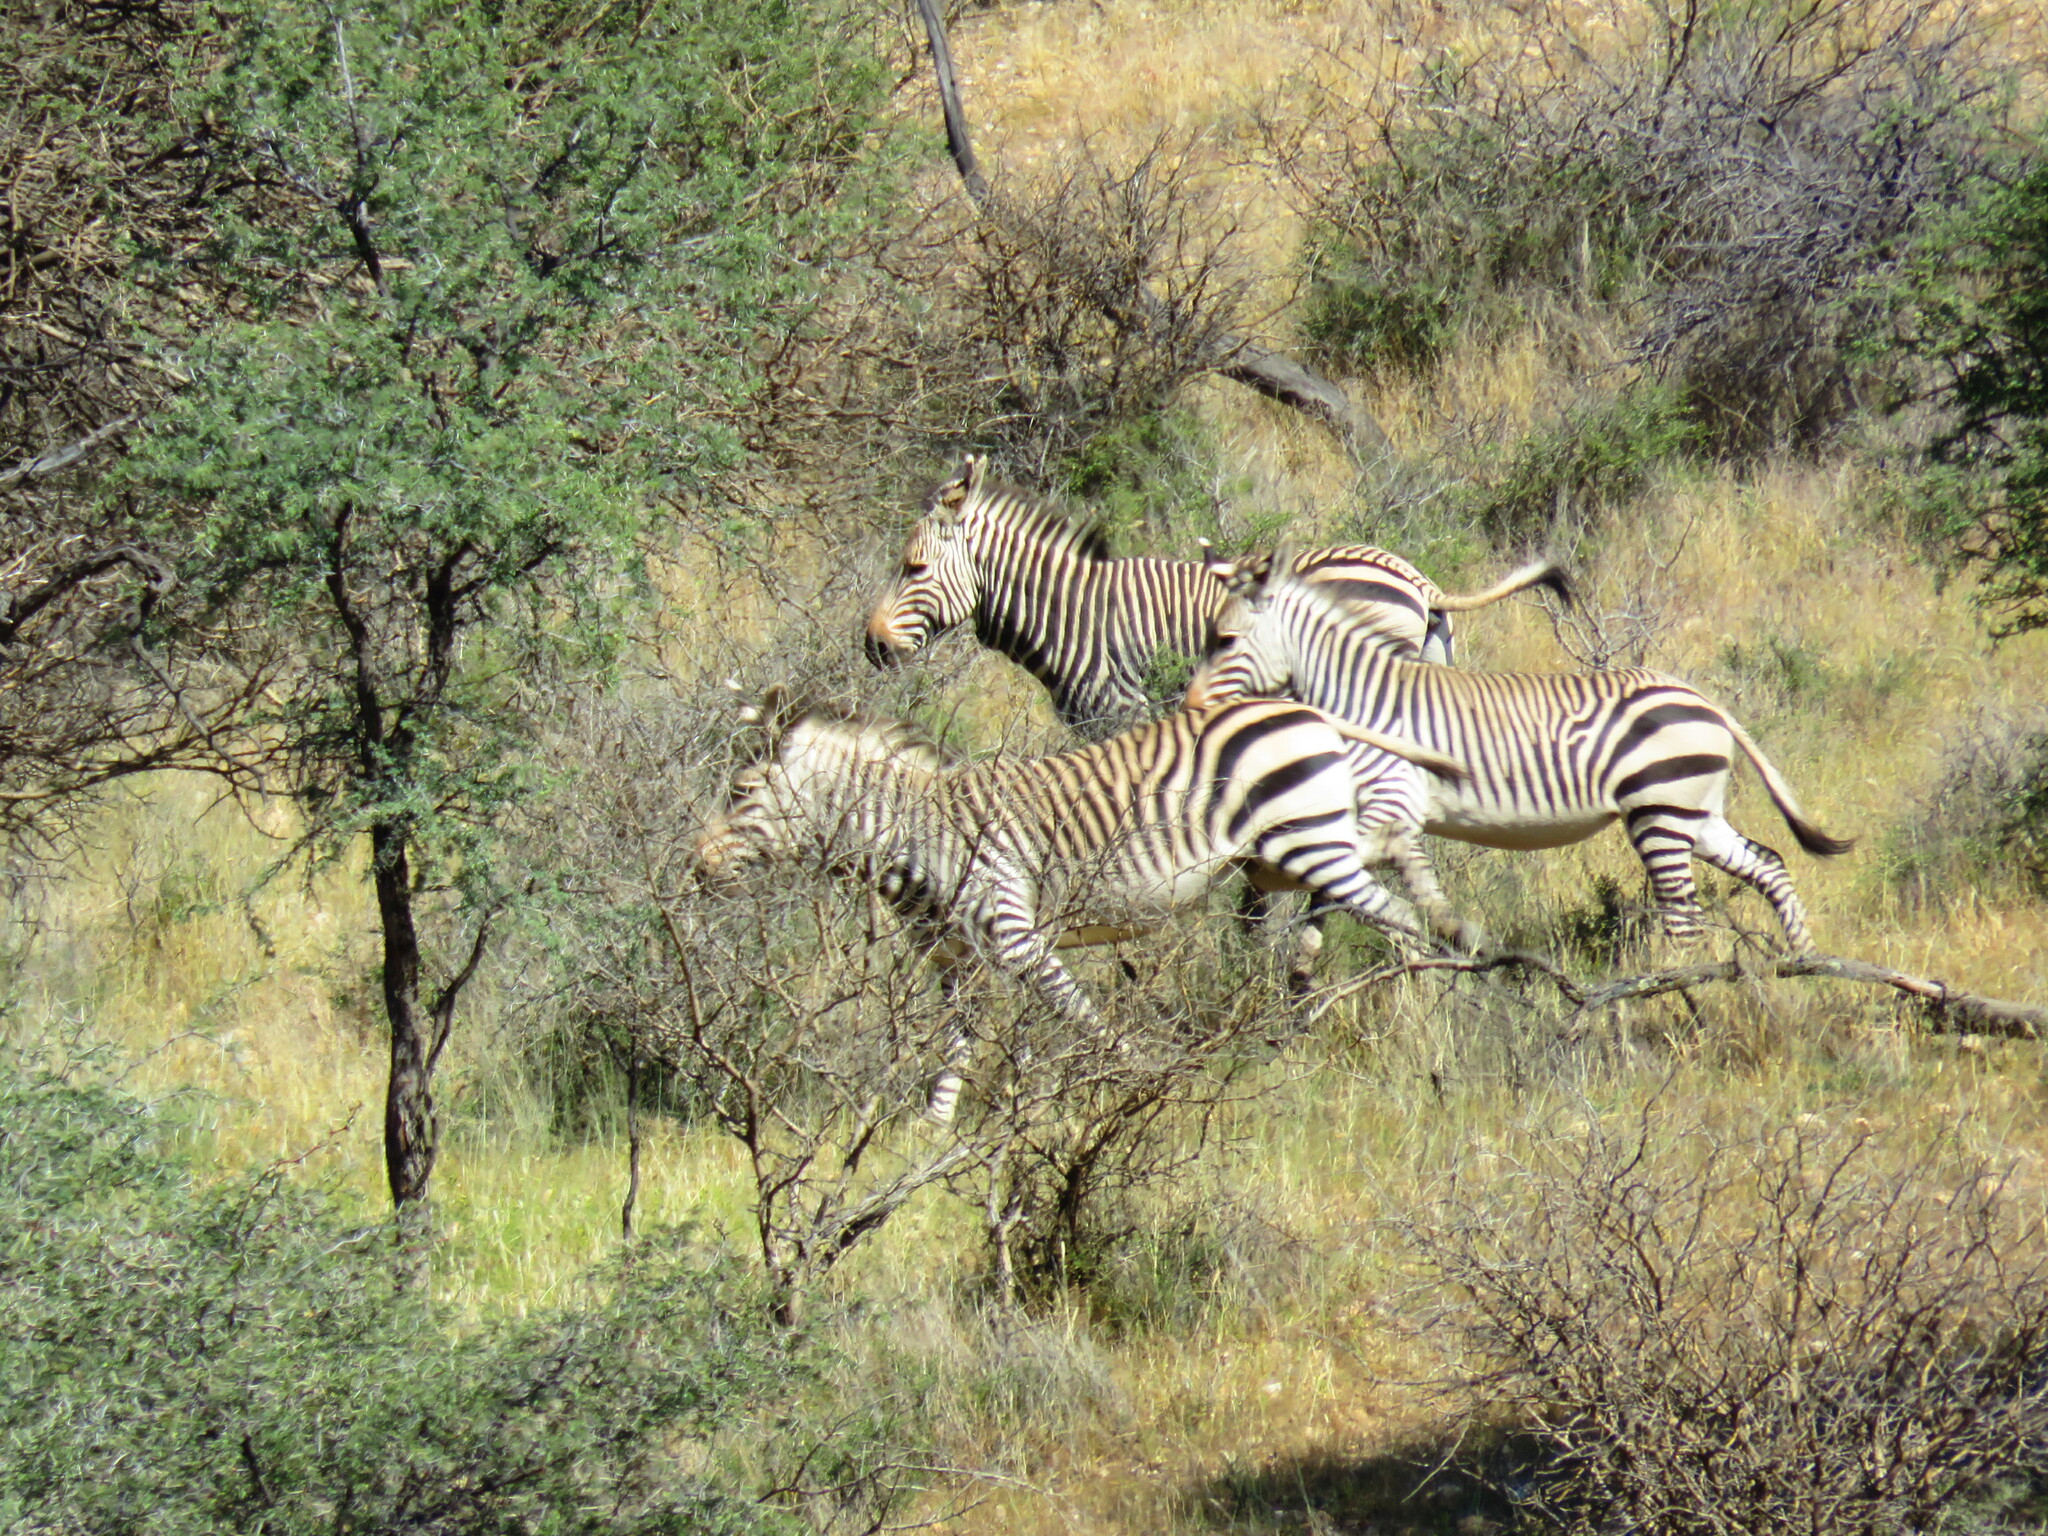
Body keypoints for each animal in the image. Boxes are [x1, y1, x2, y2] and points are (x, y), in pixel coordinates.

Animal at [696, 692, 1466, 1122]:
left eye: (740, 792)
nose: (694, 869)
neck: (918, 834)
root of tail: (1305, 709)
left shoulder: (1015, 936)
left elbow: (1082, 1018)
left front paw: (1140, 1086)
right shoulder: (955, 963)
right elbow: (957, 1047)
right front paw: (931, 1133)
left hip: (1306, 843)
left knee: (1399, 922)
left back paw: (1421, 1038)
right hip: (1283, 855)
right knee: (1385, 871)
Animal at [1179, 552, 1851, 958]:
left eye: (1224, 639)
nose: (1188, 705)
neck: (1364, 704)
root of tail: (1706, 701)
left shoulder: (1392, 808)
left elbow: (1345, 885)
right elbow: (1332, 897)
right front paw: (1301, 980)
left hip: (1659, 815)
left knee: (1683, 917)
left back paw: (1676, 996)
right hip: (1694, 814)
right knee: (1770, 865)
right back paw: (1803, 966)